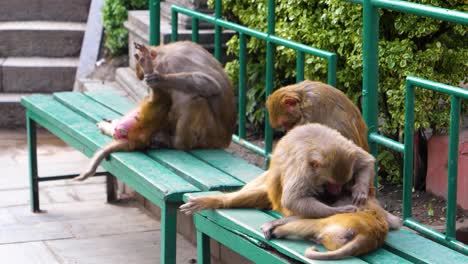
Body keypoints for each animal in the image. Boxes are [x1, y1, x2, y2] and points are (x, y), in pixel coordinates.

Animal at [77, 41, 238, 180]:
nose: (140, 76)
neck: (163, 52)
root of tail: (225, 140)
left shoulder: (172, 63)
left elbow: (211, 85)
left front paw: (159, 79)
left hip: (208, 136)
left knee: (193, 99)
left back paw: (176, 143)